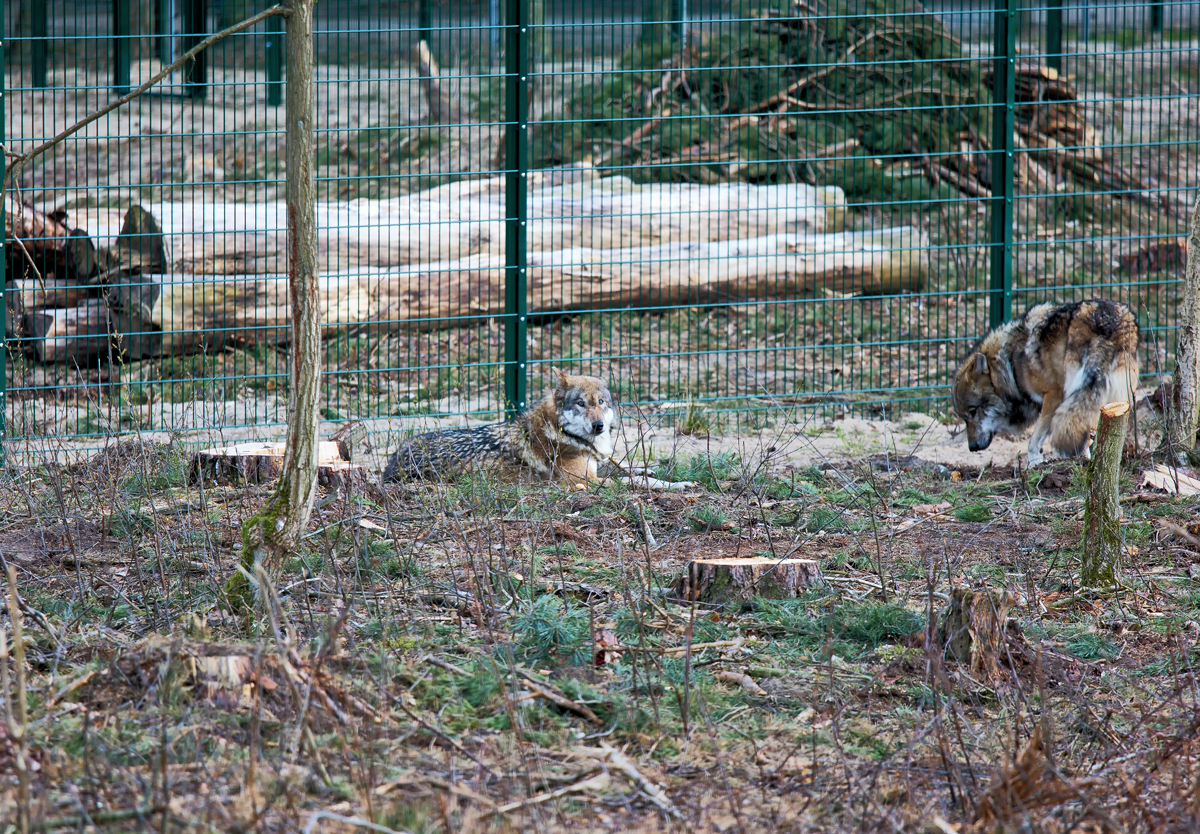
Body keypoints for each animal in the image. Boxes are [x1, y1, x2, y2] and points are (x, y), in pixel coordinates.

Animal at [384, 369, 619, 482]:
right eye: (581, 404)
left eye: (601, 402)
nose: (598, 425)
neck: (557, 430)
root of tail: (393, 461)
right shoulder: (579, 480)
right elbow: (617, 482)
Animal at [950, 300, 1137, 465]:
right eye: (964, 418)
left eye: (973, 411)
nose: (972, 447)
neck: (1009, 364)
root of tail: (1105, 321)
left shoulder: (1053, 395)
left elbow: (1034, 441)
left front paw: (1035, 463)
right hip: (1114, 394)